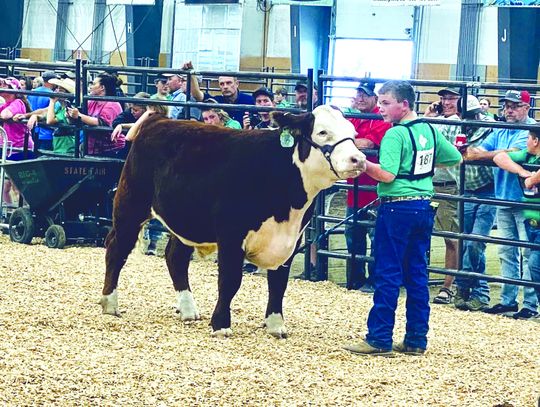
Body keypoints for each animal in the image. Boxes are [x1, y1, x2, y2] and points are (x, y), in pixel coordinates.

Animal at [99, 105, 364, 338]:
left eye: (353, 134)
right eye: (322, 132)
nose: (358, 159)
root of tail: (159, 119)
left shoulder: (291, 240)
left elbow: (279, 284)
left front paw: (276, 325)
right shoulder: (231, 234)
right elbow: (230, 280)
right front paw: (221, 325)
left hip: (186, 219)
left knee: (175, 257)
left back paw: (188, 309)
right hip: (131, 205)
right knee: (116, 248)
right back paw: (110, 303)